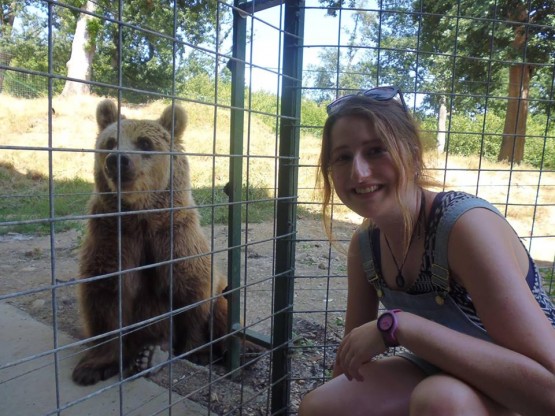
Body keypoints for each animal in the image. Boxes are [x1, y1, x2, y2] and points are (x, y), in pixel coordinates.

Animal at [71, 99, 228, 386]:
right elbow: (105, 295)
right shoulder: (113, 236)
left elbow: (192, 293)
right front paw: (93, 367)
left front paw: (196, 351)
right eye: (110, 142)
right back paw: (148, 355)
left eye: (144, 142)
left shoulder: (174, 238)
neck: (141, 216)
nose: (117, 160)